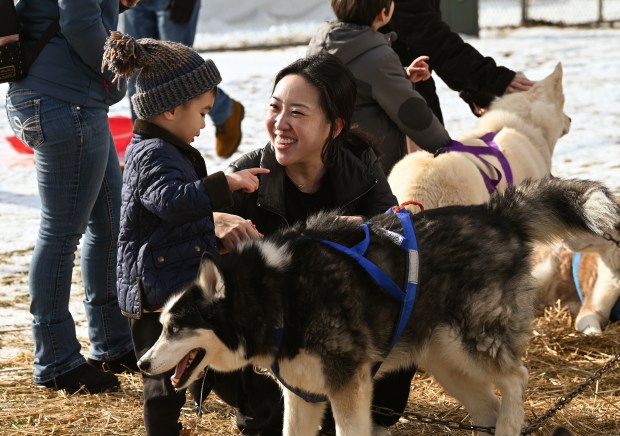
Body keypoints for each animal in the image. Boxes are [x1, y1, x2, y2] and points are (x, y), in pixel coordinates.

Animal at [138, 178, 616, 436]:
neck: (280, 291)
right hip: (448, 364)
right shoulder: (303, 393)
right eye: (160, 325)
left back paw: (513, 420)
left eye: (176, 327)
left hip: (472, 342)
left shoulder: (349, 387)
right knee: (487, 407)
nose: (141, 363)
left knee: (517, 378)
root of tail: (496, 212)